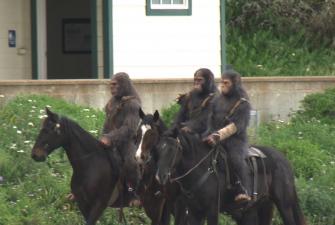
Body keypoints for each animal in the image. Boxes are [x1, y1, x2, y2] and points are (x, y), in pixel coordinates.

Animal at [155, 123, 308, 225]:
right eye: (158, 148)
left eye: (172, 149)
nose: (160, 176)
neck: (202, 169)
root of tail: (284, 160)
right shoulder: (194, 212)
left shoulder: (212, 211)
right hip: (261, 206)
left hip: (284, 205)